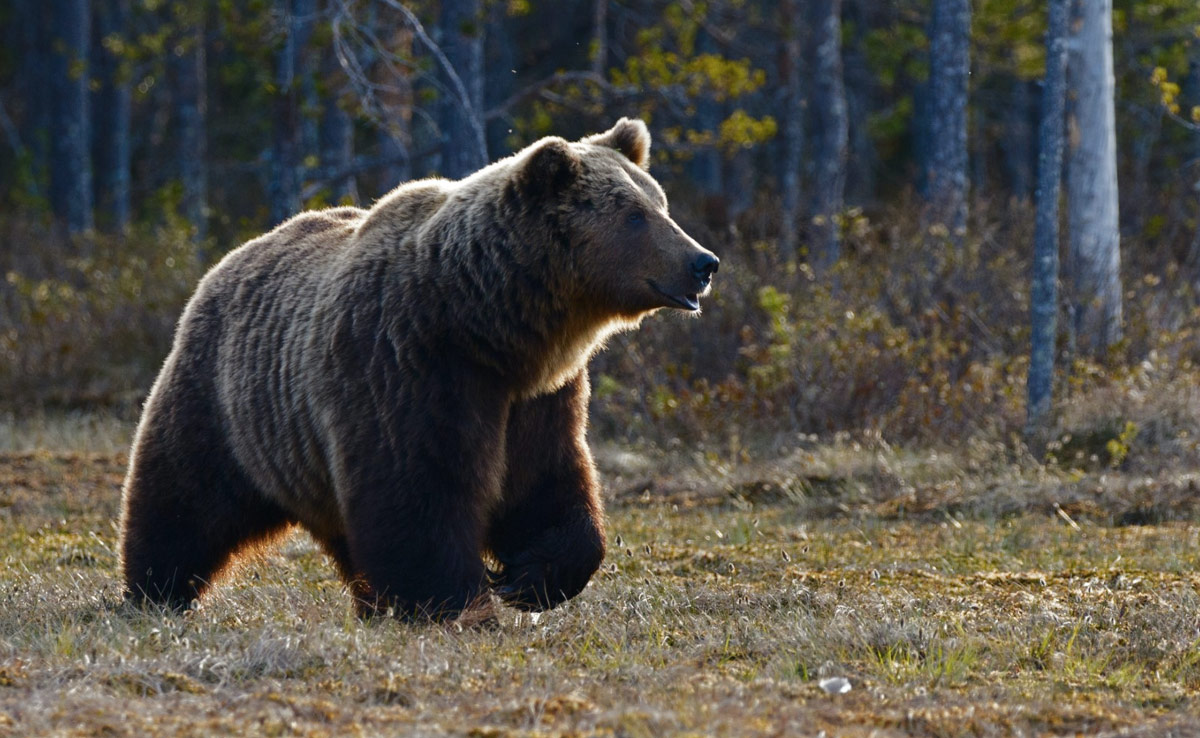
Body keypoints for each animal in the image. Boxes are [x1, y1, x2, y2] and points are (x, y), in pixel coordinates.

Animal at [119, 118, 719, 620]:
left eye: (660, 203)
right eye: (634, 215)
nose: (703, 262)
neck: (488, 325)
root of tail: (229, 260)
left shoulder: (539, 396)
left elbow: (547, 481)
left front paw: (529, 577)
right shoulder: (407, 366)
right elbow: (419, 491)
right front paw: (456, 601)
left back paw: (370, 603)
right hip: (227, 401)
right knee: (183, 497)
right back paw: (154, 591)